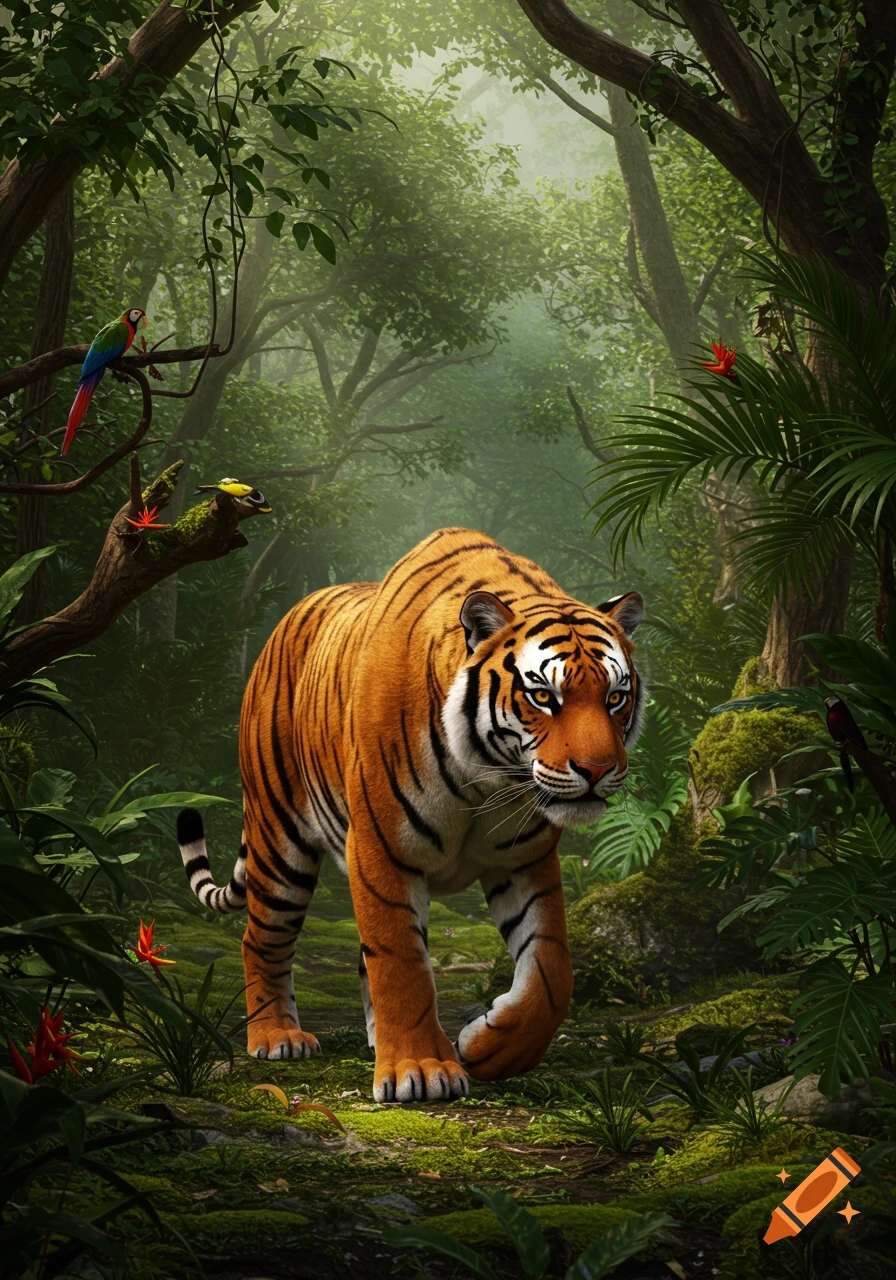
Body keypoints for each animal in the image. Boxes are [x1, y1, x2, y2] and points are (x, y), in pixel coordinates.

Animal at [177, 527, 644, 1102]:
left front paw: (493, 1048)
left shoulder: (523, 859)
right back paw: (277, 1036)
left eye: (616, 697)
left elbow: (552, 968)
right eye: (542, 696)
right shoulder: (381, 848)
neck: (489, 778)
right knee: (261, 939)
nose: (599, 769)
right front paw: (418, 1069)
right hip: (278, 840)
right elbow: (400, 963)